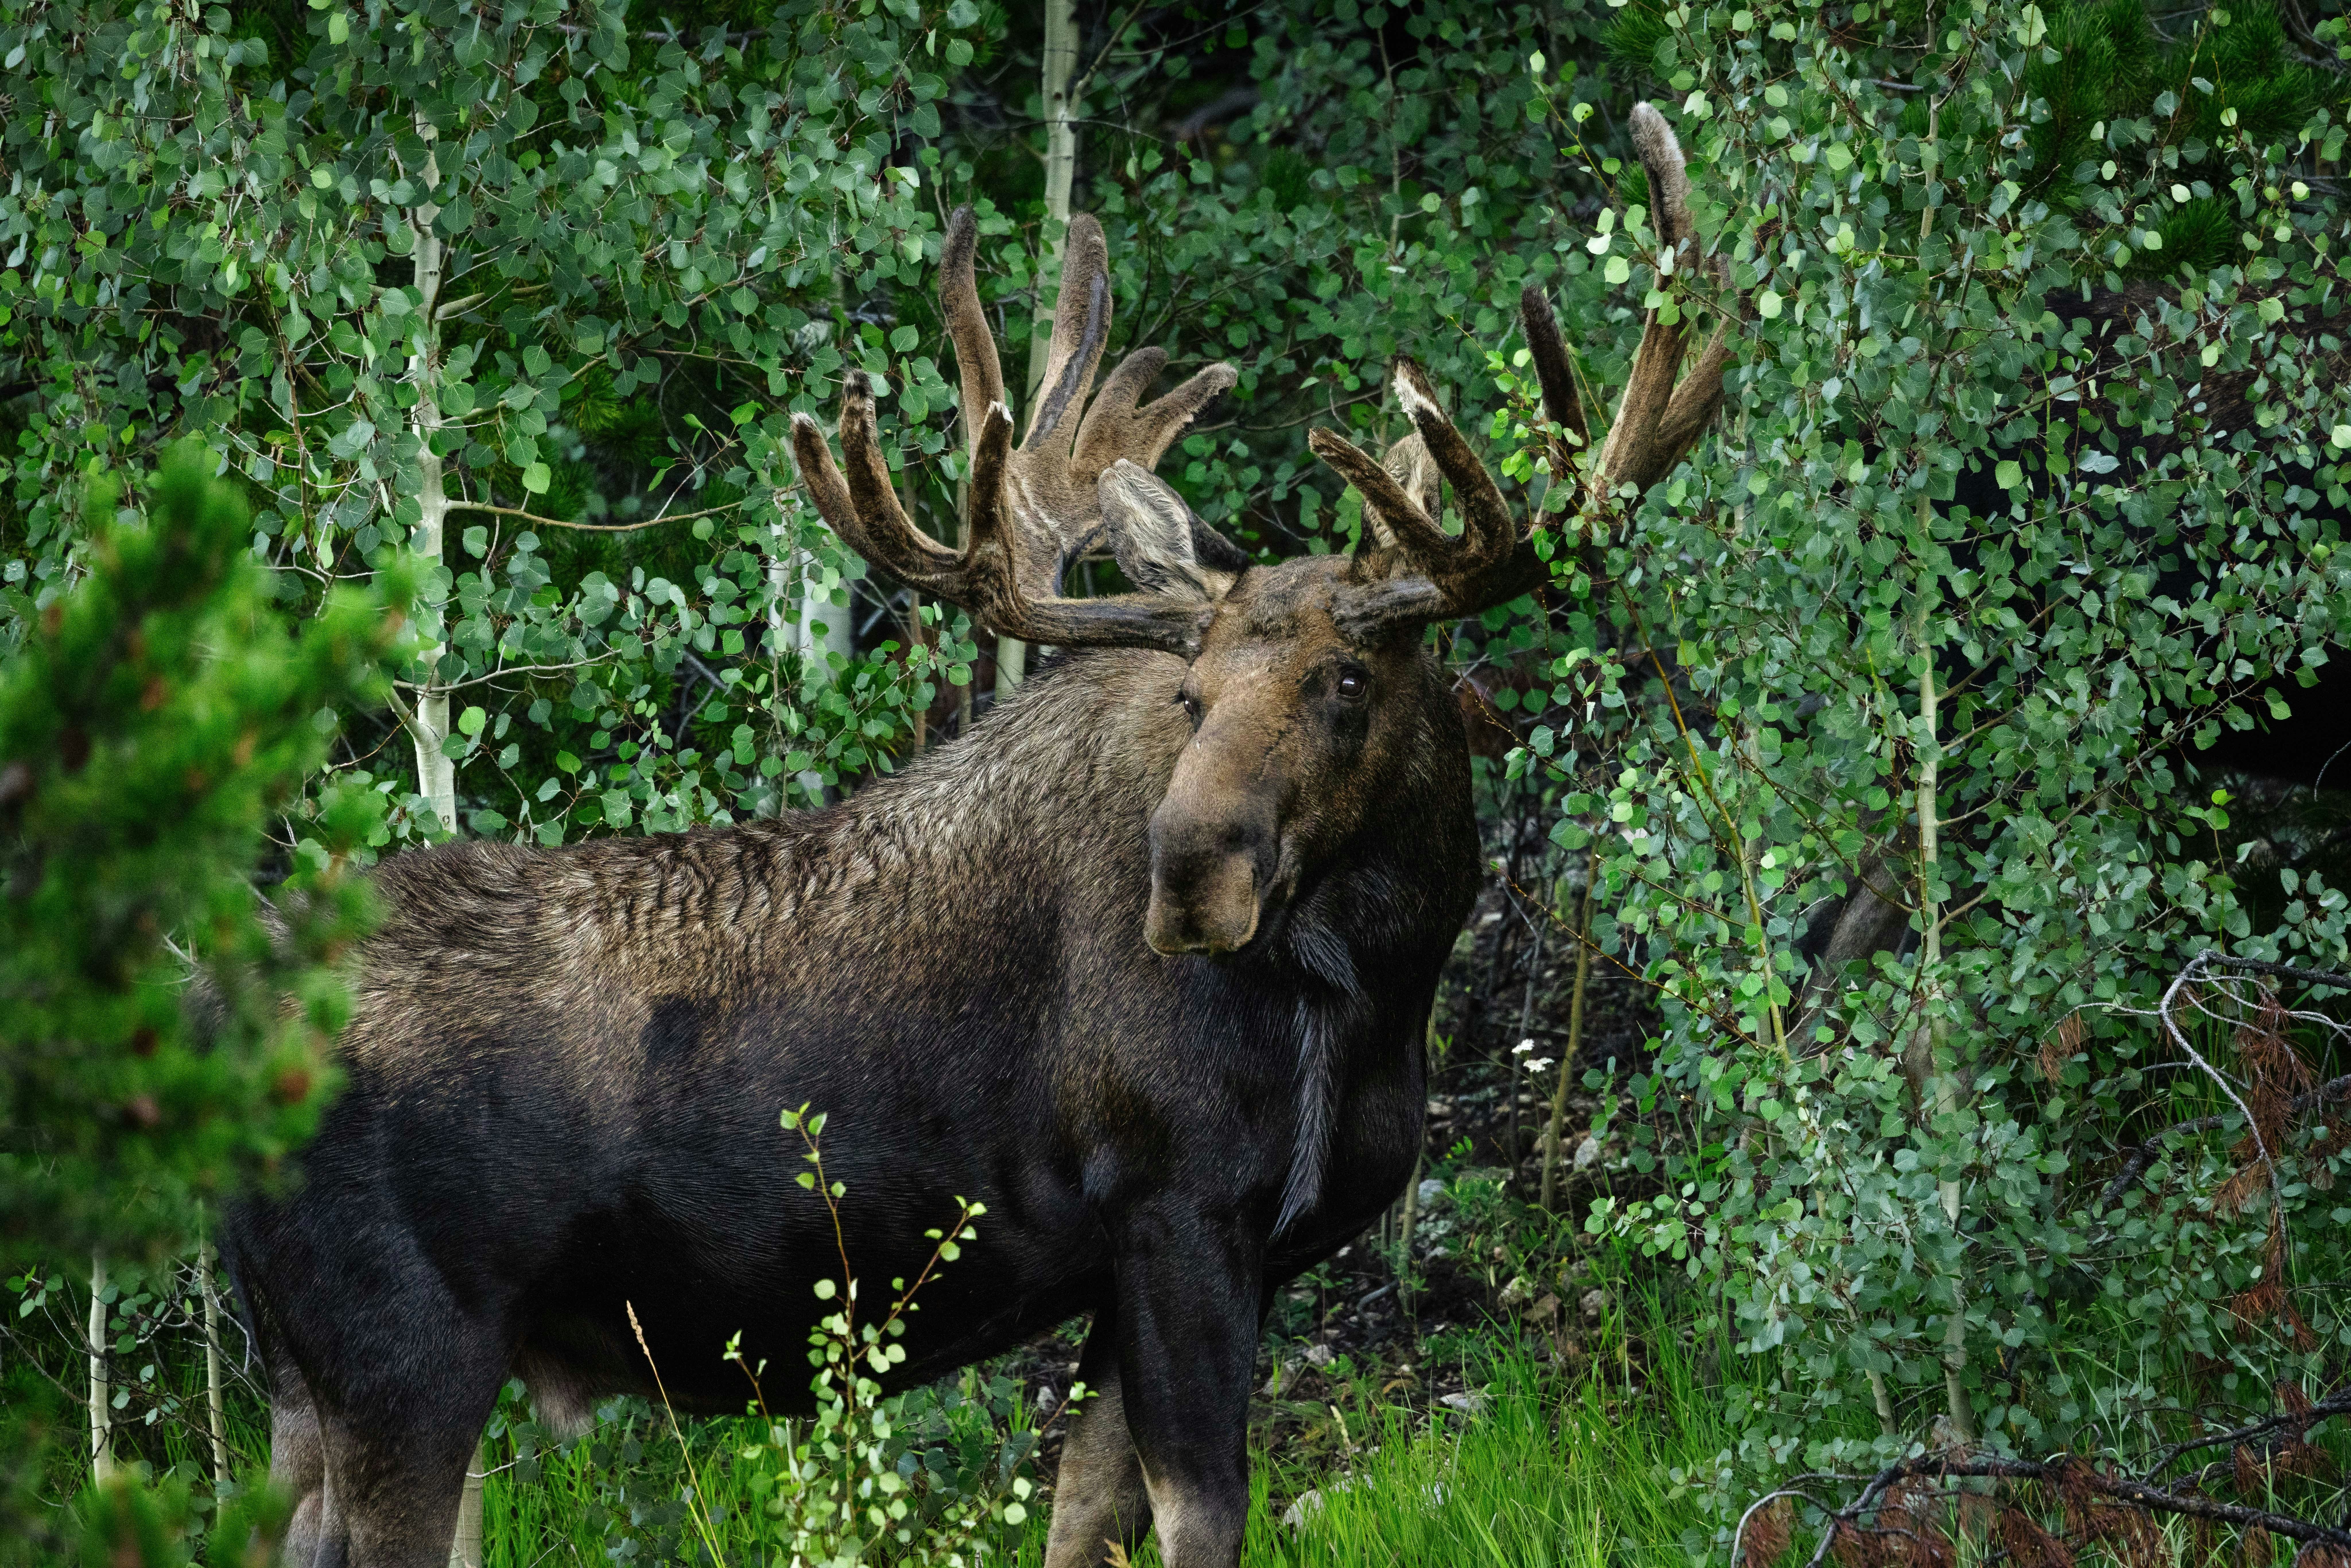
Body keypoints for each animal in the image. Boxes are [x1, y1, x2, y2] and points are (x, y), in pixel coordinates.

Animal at [221, 104, 1729, 1568]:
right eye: (1192, 692)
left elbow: (1083, 1518)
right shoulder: (1179, 1214)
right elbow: (1201, 1518)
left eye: (1347, 679)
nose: (1191, 876)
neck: (1373, 987)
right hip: (405, 1353)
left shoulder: (1159, 1263)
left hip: (307, 1383)